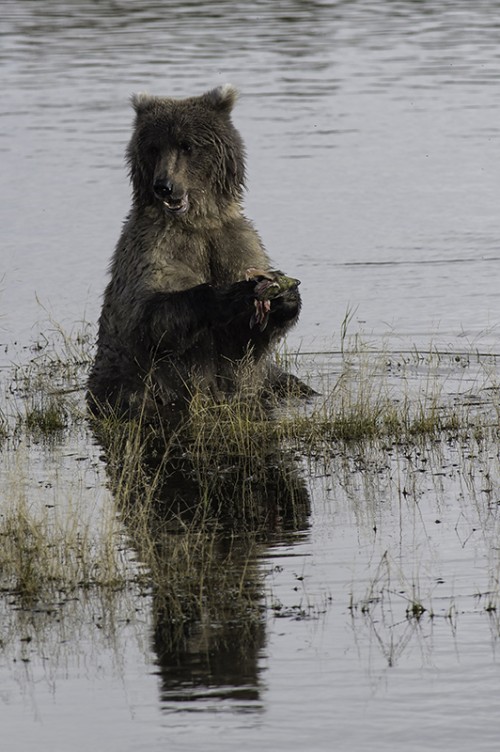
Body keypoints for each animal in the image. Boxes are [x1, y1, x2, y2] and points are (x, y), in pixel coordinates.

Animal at [87, 86, 302, 420]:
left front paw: (284, 295)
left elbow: (244, 340)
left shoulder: (234, 241)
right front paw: (228, 294)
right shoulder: (153, 247)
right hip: (124, 383)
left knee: (289, 383)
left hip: (270, 381)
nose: (163, 186)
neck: (199, 221)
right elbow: (153, 316)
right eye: (153, 147)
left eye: (187, 145)